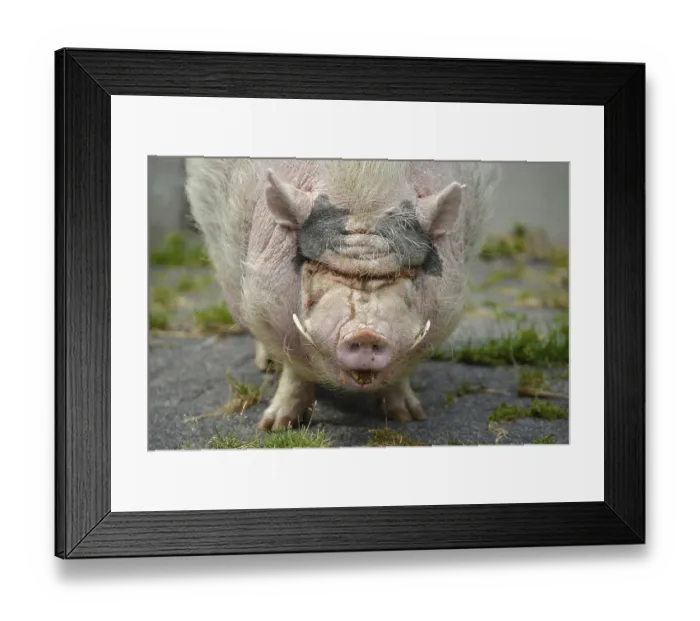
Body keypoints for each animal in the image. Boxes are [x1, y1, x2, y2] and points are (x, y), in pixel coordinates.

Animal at [184, 158, 500, 431]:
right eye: (321, 268)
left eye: (405, 274)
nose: (366, 334)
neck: (362, 192)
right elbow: (294, 371)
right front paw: (274, 427)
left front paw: (409, 417)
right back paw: (266, 368)